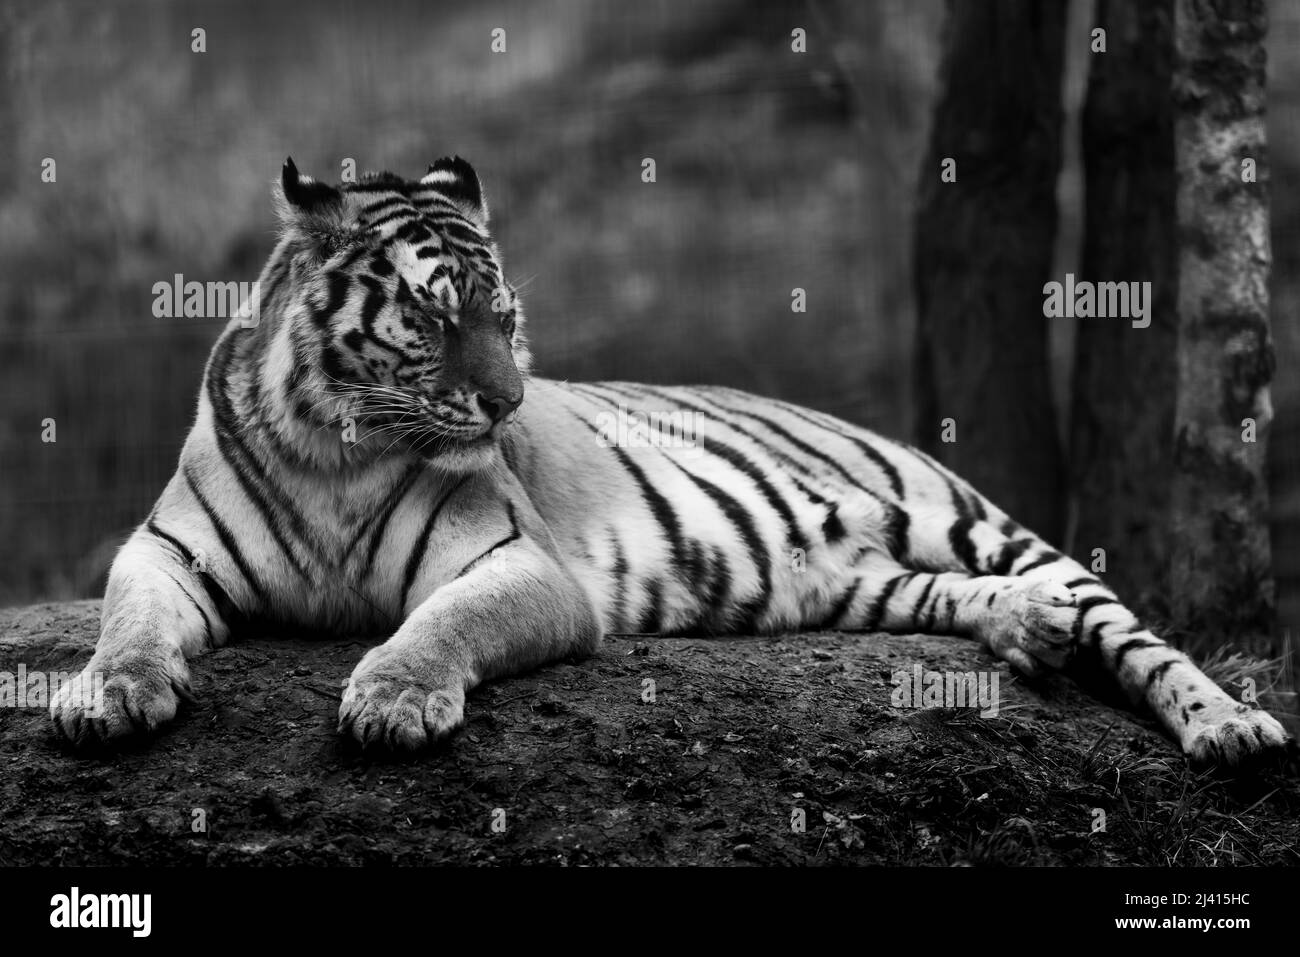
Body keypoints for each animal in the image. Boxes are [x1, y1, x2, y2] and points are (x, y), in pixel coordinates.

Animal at [49, 156, 1290, 768]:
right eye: (438, 318)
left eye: (506, 317)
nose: (507, 402)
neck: (330, 449)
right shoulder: (164, 553)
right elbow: (130, 620)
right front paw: (105, 696)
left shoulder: (518, 565)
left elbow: (439, 625)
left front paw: (392, 702)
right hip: (859, 582)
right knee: (957, 599)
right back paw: (1025, 631)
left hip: (972, 522)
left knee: (1141, 636)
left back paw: (1228, 728)